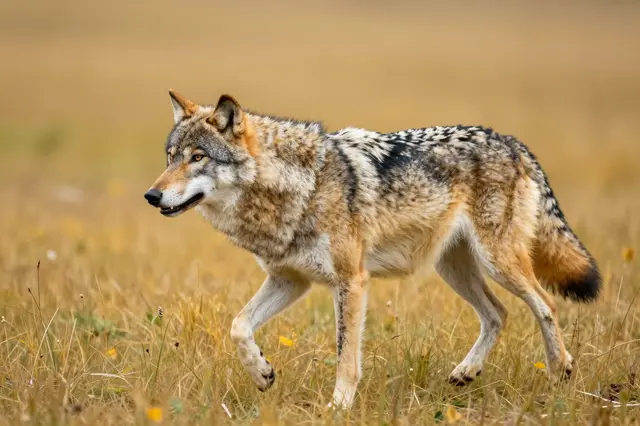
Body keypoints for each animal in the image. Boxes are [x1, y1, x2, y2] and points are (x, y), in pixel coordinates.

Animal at [144, 90, 601, 409]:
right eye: (170, 157)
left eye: (197, 157)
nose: (151, 195)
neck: (296, 188)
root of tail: (510, 140)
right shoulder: (290, 280)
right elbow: (239, 326)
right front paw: (262, 374)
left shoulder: (351, 281)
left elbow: (346, 356)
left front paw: (337, 406)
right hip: (455, 269)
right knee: (498, 313)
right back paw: (466, 373)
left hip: (499, 263)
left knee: (545, 305)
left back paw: (560, 371)